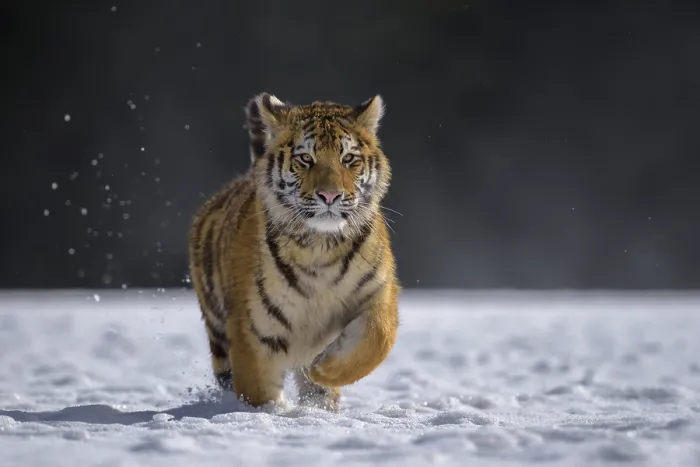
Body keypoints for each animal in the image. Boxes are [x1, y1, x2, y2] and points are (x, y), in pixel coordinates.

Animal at [188, 92, 399, 411]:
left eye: (348, 159)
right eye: (305, 159)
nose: (330, 195)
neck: (321, 245)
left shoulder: (378, 293)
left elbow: (378, 338)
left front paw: (322, 368)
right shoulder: (253, 329)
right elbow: (258, 391)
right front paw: (269, 414)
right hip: (217, 330)